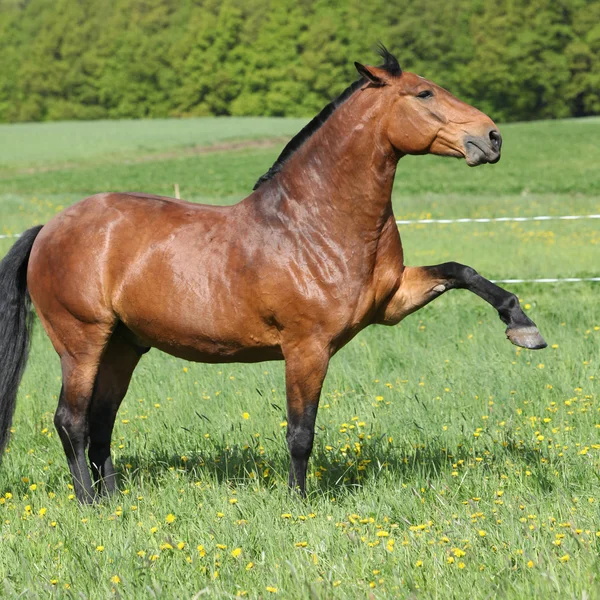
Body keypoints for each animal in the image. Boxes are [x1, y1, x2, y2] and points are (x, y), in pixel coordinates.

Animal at [0, 47, 544, 504]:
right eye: (425, 93)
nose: (492, 137)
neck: (315, 223)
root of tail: (51, 227)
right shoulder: (307, 347)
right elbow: (300, 433)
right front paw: (297, 504)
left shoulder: (392, 301)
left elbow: (461, 271)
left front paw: (523, 327)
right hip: (82, 342)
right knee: (71, 421)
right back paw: (90, 504)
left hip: (123, 346)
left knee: (101, 423)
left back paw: (114, 501)